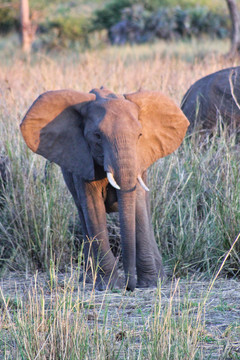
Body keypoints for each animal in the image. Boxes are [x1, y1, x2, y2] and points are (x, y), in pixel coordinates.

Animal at [20, 88, 189, 292]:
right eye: (98, 136)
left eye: (140, 135)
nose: (129, 287)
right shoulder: (82, 159)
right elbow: (93, 209)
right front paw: (109, 285)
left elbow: (138, 206)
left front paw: (150, 283)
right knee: (83, 215)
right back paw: (87, 279)